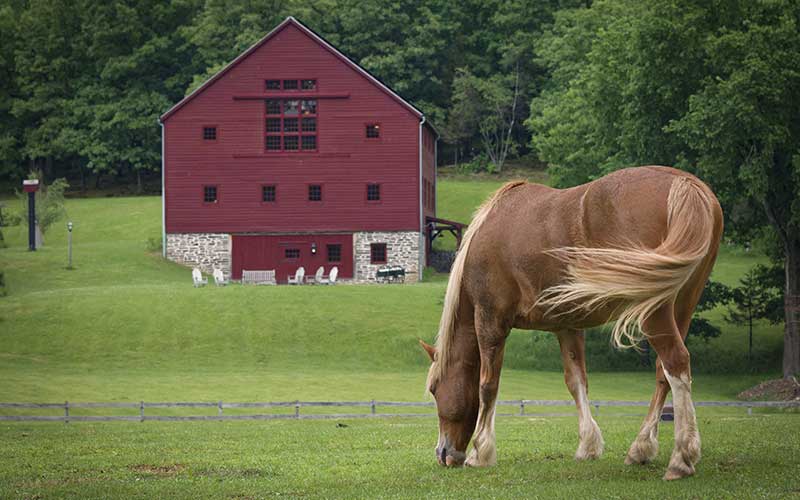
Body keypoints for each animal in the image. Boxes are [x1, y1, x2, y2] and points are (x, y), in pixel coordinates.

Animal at [422, 167, 720, 480]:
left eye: (434, 389)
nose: (444, 454)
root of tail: (686, 184)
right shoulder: (567, 326)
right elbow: (576, 381)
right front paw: (588, 446)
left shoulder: (490, 320)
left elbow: (488, 385)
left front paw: (481, 452)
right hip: (683, 305)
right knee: (664, 372)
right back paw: (640, 449)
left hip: (654, 310)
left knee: (676, 362)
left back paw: (681, 459)